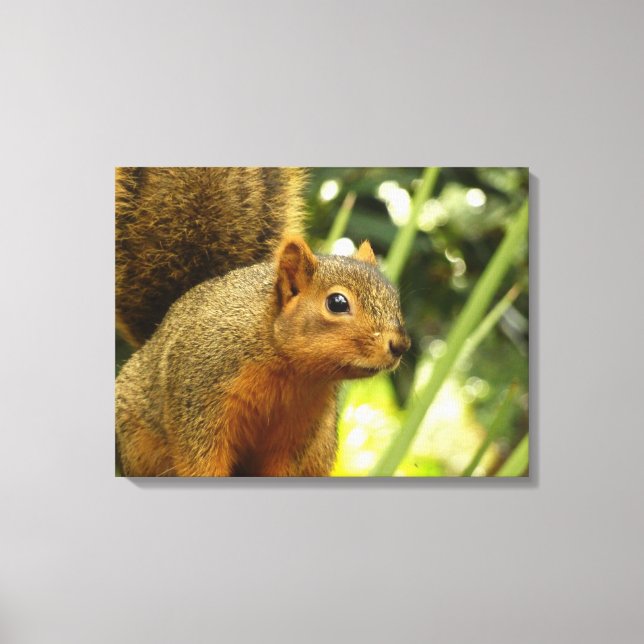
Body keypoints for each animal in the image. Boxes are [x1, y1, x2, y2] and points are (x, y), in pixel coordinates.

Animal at [115, 167, 411, 476]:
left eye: (394, 297)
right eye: (337, 303)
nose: (400, 345)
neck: (290, 370)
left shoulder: (299, 430)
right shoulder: (199, 397)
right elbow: (200, 460)